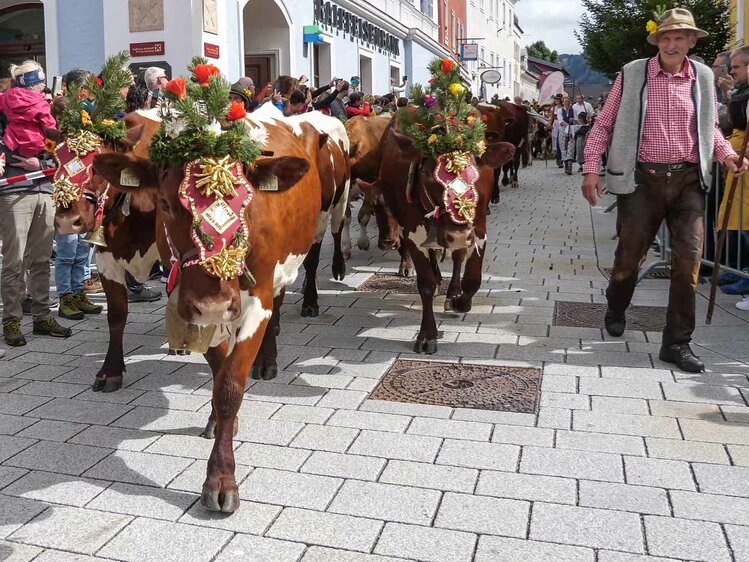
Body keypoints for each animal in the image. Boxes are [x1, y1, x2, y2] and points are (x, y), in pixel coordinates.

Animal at [94, 118, 324, 512]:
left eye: (247, 203)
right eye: (165, 203)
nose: (214, 302)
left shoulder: (256, 300)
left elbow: (231, 385)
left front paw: (221, 479)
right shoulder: (194, 307)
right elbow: (219, 372)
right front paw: (218, 424)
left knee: (279, 303)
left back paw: (267, 361)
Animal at [358, 111, 512, 352]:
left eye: (475, 174)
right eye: (427, 174)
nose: (386, 242)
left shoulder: (477, 229)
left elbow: (472, 278)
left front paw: (460, 301)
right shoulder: (413, 232)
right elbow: (426, 283)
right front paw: (427, 335)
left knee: (458, 258)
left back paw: (453, 292)